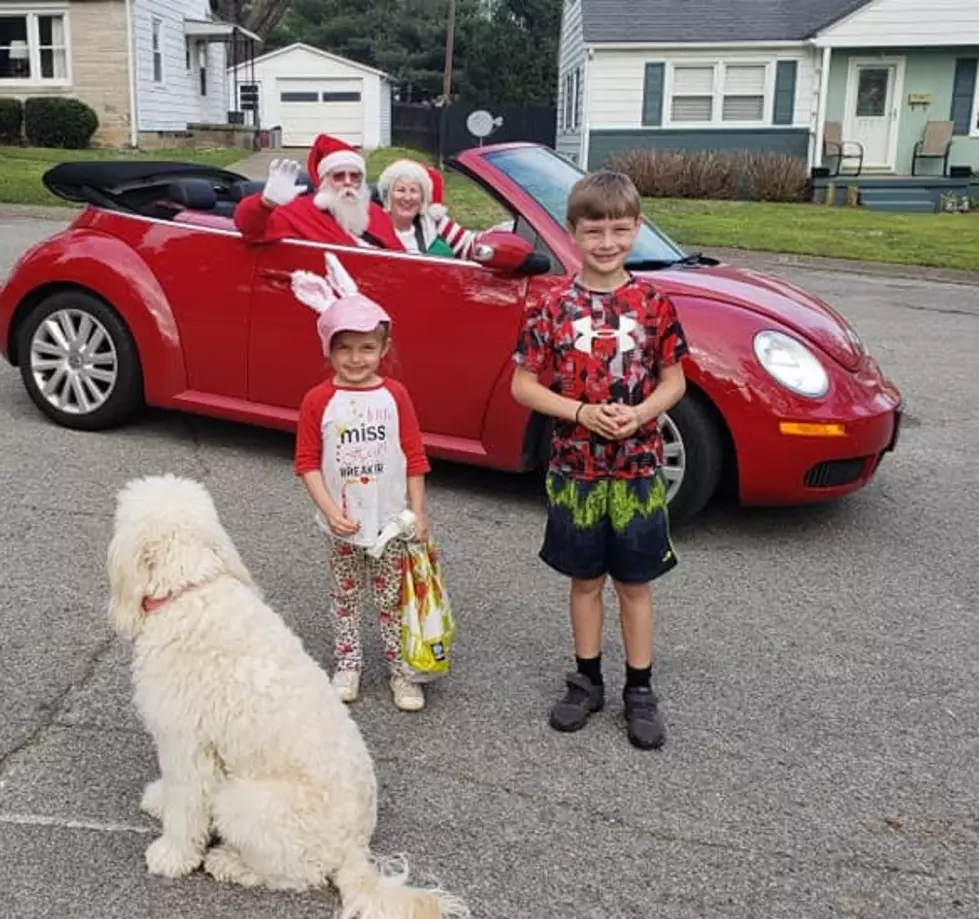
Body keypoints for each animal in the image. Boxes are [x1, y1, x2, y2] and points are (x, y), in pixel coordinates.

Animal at [105, 474, 468, 919]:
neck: (190, 591)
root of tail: (353, 849)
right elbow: (175, 793)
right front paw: (160, 799)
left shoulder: (187, 744)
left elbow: (187, 804)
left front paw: (171, 856)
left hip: (246, 803)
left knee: (296, 876)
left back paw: (229, 863)